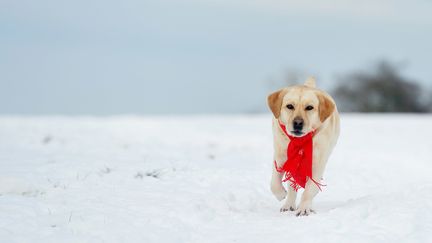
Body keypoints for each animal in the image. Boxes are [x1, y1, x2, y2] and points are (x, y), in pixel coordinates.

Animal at [266, 77, 340, 215]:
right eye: (290, 106)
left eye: (309, 107)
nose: (298, 123)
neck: (299, 141)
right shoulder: (281, 157)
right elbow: (274, 183)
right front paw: (281, 194)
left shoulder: (316, 164)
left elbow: (309, 190)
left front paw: (304, 209)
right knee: (291, 187)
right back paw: (288, 205)